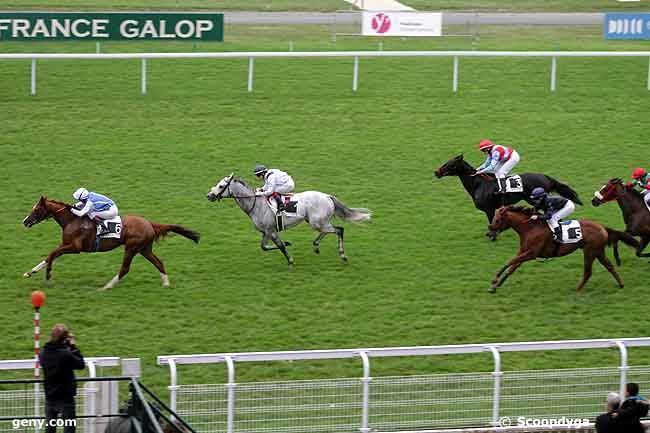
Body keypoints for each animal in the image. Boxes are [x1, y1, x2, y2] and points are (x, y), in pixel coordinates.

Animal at [22, 196, 200, 290]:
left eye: (36, 209)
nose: (25, 221)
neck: (73, 220)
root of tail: (149, 223)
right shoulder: (65, 244)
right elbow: (48, 256)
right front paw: (30, 272)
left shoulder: (75, 247)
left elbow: (52, 254)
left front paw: (48, 276)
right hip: (144, 249)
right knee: (159, 262)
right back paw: (166, 283)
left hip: (131, 247)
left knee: (125, 268)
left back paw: (107, 286)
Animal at [208, 173, 370, 264]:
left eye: (221, 186)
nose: (209, 195)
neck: (255, 204)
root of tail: (327, 196)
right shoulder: (268, 232)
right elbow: (274, 246)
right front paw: (289, 253)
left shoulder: (268, 230)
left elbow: (267, 246)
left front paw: (289, 252)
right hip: (318, 221)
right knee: (328, 231)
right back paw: (316, 245)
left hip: (317, 222)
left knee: (339, 230)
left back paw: (342, 255)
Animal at [432, 154, 580, 240]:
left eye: (450, 164)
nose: (436, 172)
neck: (478, 184)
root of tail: (546, 177)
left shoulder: (489, 209)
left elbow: (491, 221)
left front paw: (493, 236)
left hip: (535, 199)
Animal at [484, 206, 636, 294]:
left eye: (497, 220)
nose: (489, 233)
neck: (531, 228)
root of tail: (602, 227)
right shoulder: (524, 252)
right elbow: (512, 267)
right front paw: (495, 286)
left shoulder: (531, 254)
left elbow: (509, 262)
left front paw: (494, 281)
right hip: (598, 252)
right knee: (609, 266)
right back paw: (621, 284)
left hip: (590, 251)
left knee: (588, 272)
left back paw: (577, 290)